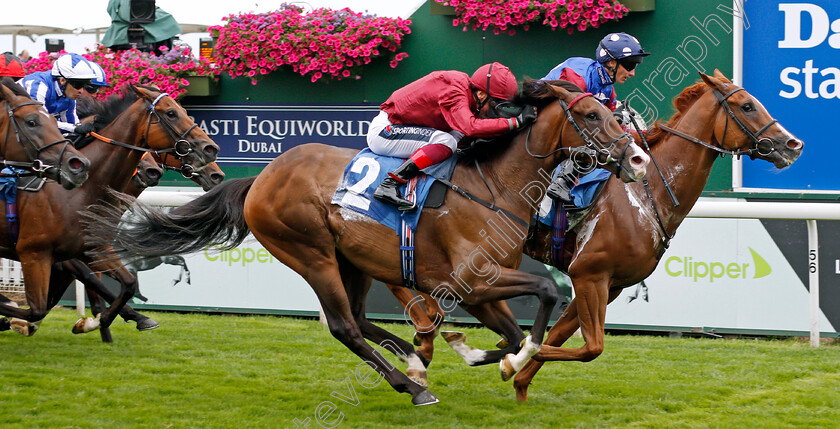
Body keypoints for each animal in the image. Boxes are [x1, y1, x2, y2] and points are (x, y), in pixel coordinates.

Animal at [0, 83, 220, 334]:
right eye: (171, 113)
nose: (212, 151)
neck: (80, 191)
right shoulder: (41, 254)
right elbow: (60, 297)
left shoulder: (92, 250)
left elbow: (124, 284)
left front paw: (103, 320)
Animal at [85, 80, 648, 404]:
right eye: (593, 116)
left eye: (614, 114)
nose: (639, 159)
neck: (495, 186)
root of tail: (263, 176)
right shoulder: (474, 279)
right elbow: (548, 293)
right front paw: (512, 356)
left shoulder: (473, 290)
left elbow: (509, 333)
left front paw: (477, 353)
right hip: (310, 253)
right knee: (342, 326)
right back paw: (409, 385)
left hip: (348, 258)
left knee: (357, 319)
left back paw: (412, 361)